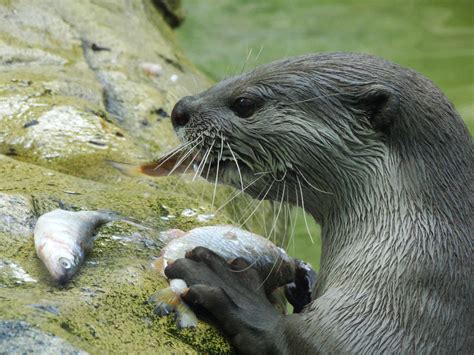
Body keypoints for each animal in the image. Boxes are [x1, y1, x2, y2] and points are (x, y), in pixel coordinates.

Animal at [162, 53, 470, 355]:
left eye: (244, 103)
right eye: (230, 79)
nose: (180, 109)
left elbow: (292, 338)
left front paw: (226, 282)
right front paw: (302, 278)